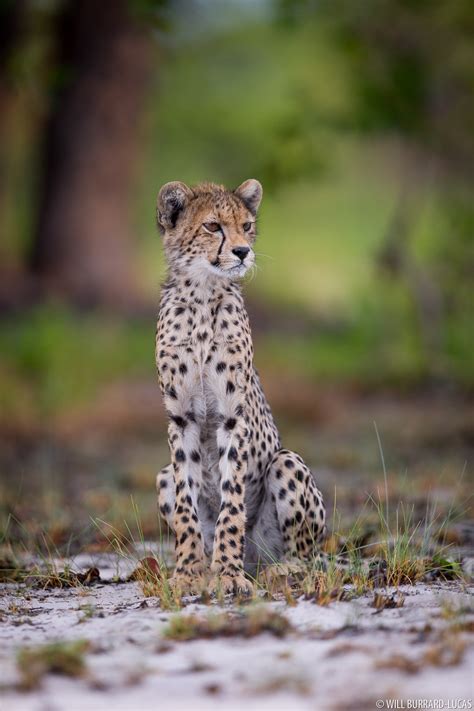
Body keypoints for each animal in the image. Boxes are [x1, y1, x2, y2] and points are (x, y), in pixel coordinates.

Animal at [155, 178, 326, 596]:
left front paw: (228, 574)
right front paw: (188, 572)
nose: (243, 251)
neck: (201, 294)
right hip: (162, 475)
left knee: (308, 558)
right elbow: (186, 505)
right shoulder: (181, 419)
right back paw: (205, 565)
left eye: (246, 226)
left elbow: (231, 502)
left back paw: (276, 570)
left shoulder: (233, 417)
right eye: (213, 226)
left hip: (286, 462)